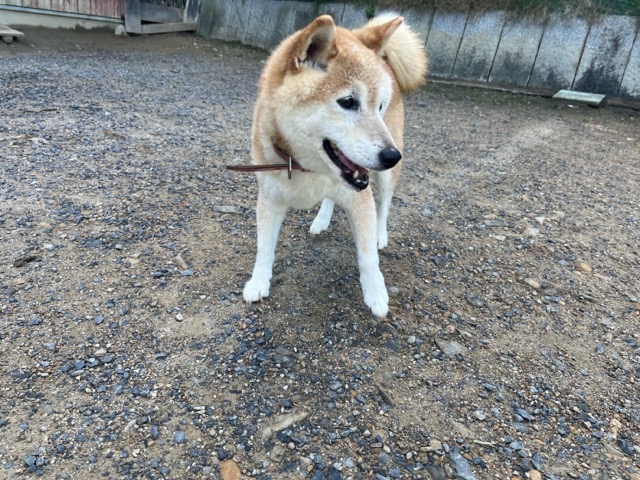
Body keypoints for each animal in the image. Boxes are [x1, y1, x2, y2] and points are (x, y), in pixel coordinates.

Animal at [240, 12, 427, 317]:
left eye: (379, 106)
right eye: (348, 102)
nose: (392, 156)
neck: (307, 167)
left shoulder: (361, 198)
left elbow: (367, 256)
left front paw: (376, 293)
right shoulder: (270, 196)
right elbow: (264, 247)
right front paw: (258, 282)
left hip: (387, 173)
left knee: (385, 204)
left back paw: (380, 233)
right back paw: (321, 219)